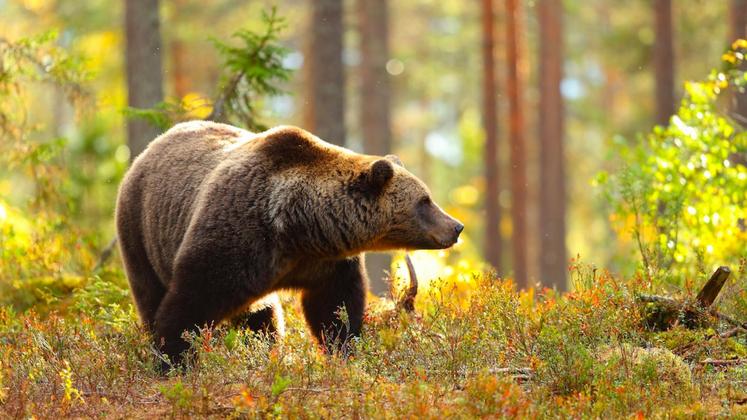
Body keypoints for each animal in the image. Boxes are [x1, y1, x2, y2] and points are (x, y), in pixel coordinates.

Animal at [115, 120, 468, 364]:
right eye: (425, 200)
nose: (456, 226)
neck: (298, 227)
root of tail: (147, 150)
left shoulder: (325, 263)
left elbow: (334, 308)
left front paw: (344, 350)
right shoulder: (235, 236)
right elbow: (190, 301)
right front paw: (174, 359)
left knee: (262, 318)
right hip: (140, 231)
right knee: (150, 292)